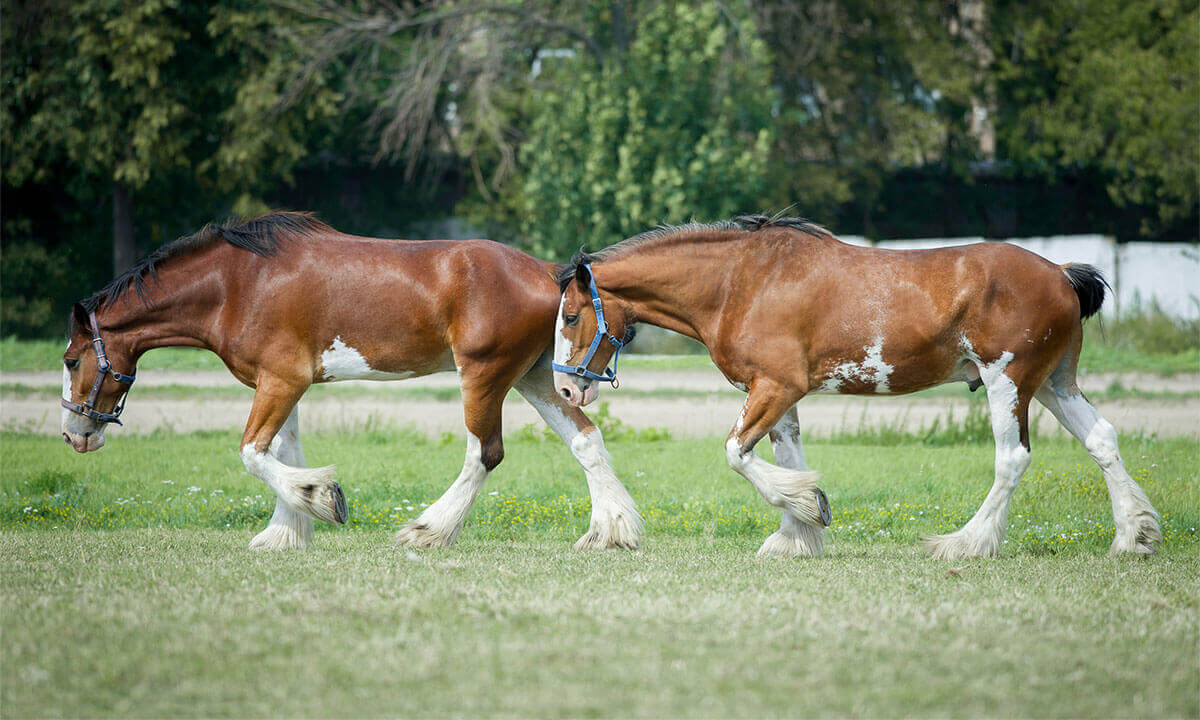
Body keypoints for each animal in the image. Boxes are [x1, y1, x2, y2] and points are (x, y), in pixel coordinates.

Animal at [60, 212, 642, 551]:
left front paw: (320, 500)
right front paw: (286, 532)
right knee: (586, 440)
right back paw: (612, 531)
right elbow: (282, 452)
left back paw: (427, 531)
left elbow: (254, 454)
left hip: (485, 374)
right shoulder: (282, 384)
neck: (236, 284)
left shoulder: (282, 380)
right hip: (539, 377)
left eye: (69, 360)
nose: (74, 434)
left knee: (485, 452)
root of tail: (545, 272)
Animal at [551, 214, 1161, 560]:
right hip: (1056, 383)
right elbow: (785, 458)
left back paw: (965, 544)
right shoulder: (779, 394)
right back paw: (1134, 537)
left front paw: (806, 511)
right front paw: (798, 533)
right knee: (1102, 439)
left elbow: (737, 454)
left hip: (1008, 381)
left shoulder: (775, 387)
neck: (740, 281)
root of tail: (1059, 273)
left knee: (1012, 458)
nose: (567, 392)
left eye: (573, 316)